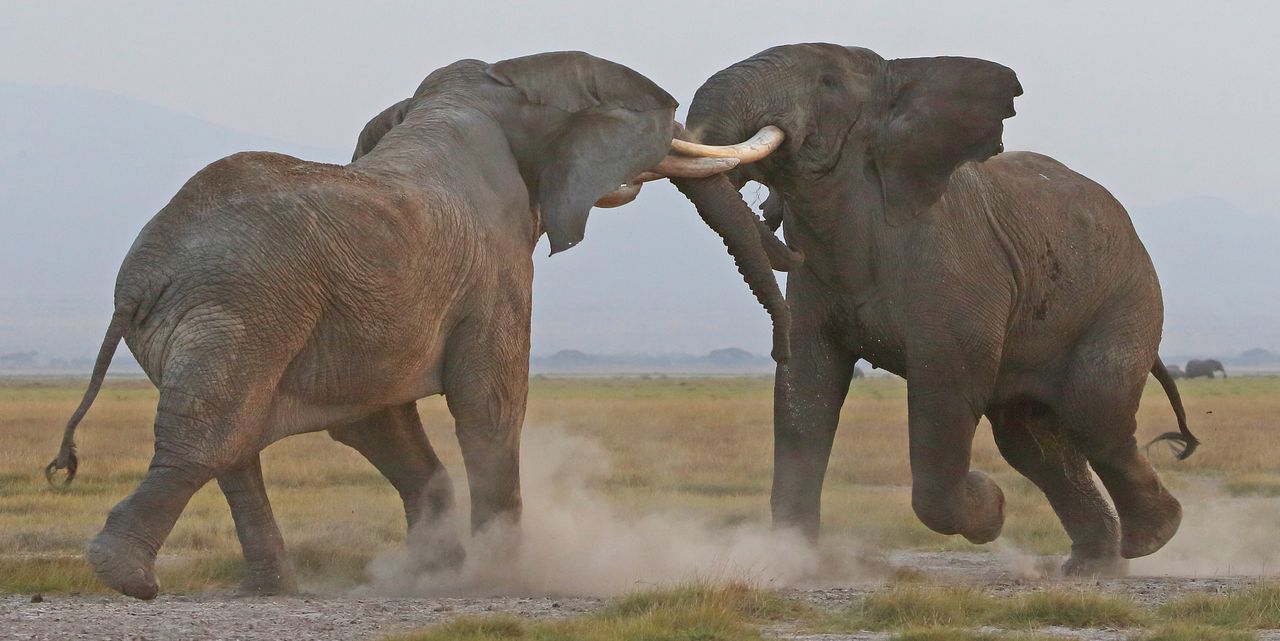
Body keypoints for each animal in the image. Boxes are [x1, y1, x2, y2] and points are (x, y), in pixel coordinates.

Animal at [45, 51, 788, 598]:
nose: (780, 227)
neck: (495, 86)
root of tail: (138, 281)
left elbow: (377, 420)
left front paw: (437, 573)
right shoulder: (496, 265)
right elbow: (491, 405)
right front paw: (498, 578)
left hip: (228, 314)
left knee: (235, 444)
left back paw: (269, 591)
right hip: (242, 305)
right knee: (210, 433)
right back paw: (128, 577)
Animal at [680, 43, 1198, 575]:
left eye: (827, 82)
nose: (769, 218)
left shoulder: (956, 261)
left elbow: (946, 383)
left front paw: (991, 507)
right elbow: (805, 391)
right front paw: (794, 564)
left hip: (1127, 297)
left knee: (1095, 412)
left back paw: (1153, 537)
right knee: (1033, 443)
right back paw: (1094, 566)